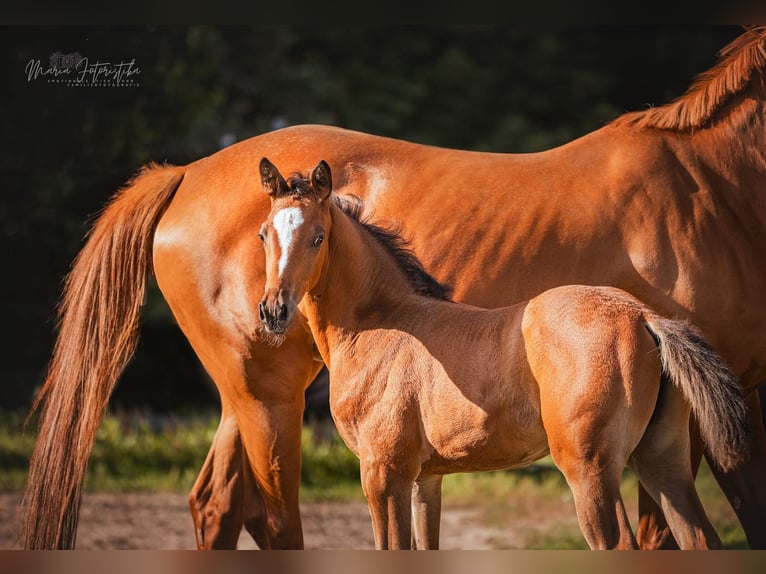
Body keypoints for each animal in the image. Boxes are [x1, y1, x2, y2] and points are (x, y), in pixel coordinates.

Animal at [258, 159, 752, 552]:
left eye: (318, 237)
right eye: (264, 234)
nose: (273, 311)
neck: (381, 325)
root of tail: (643, 316)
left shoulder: (383, 474)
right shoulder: (424, 480)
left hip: (588, 468)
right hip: (662, 460)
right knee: (702, 540)